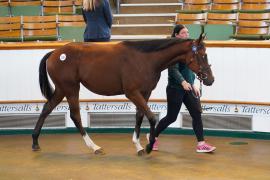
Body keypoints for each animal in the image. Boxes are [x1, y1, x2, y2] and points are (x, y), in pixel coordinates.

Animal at [31, 33, 214, 156]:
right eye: (202, 55)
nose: (210, 79)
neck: (145, 59)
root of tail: (54, 53)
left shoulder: (144, 93)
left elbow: (140, 116)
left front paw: (139, 146)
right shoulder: (132, 93)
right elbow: (151, 117)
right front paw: (148, 146)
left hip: (62, 89)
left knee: (47, 109)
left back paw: (35, 142)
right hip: (70, 88)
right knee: (75, 115)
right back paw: (94, 147)